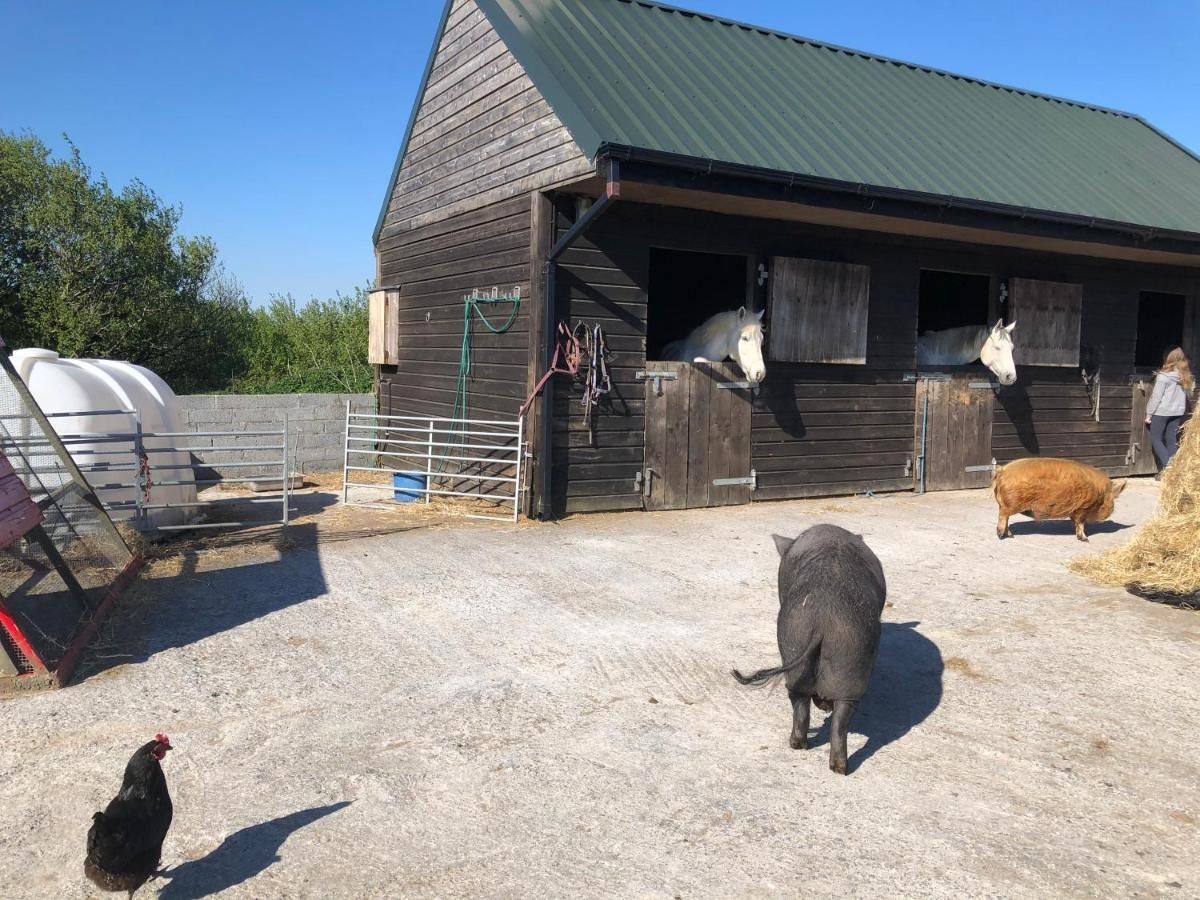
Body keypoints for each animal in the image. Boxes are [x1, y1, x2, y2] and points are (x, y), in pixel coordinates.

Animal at [724, 525, 888, 777]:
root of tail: (823, 619)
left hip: (797, 640)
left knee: (802, 701)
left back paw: (805, 749)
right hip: (849, 652)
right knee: (838, 718)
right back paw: (839, 768)